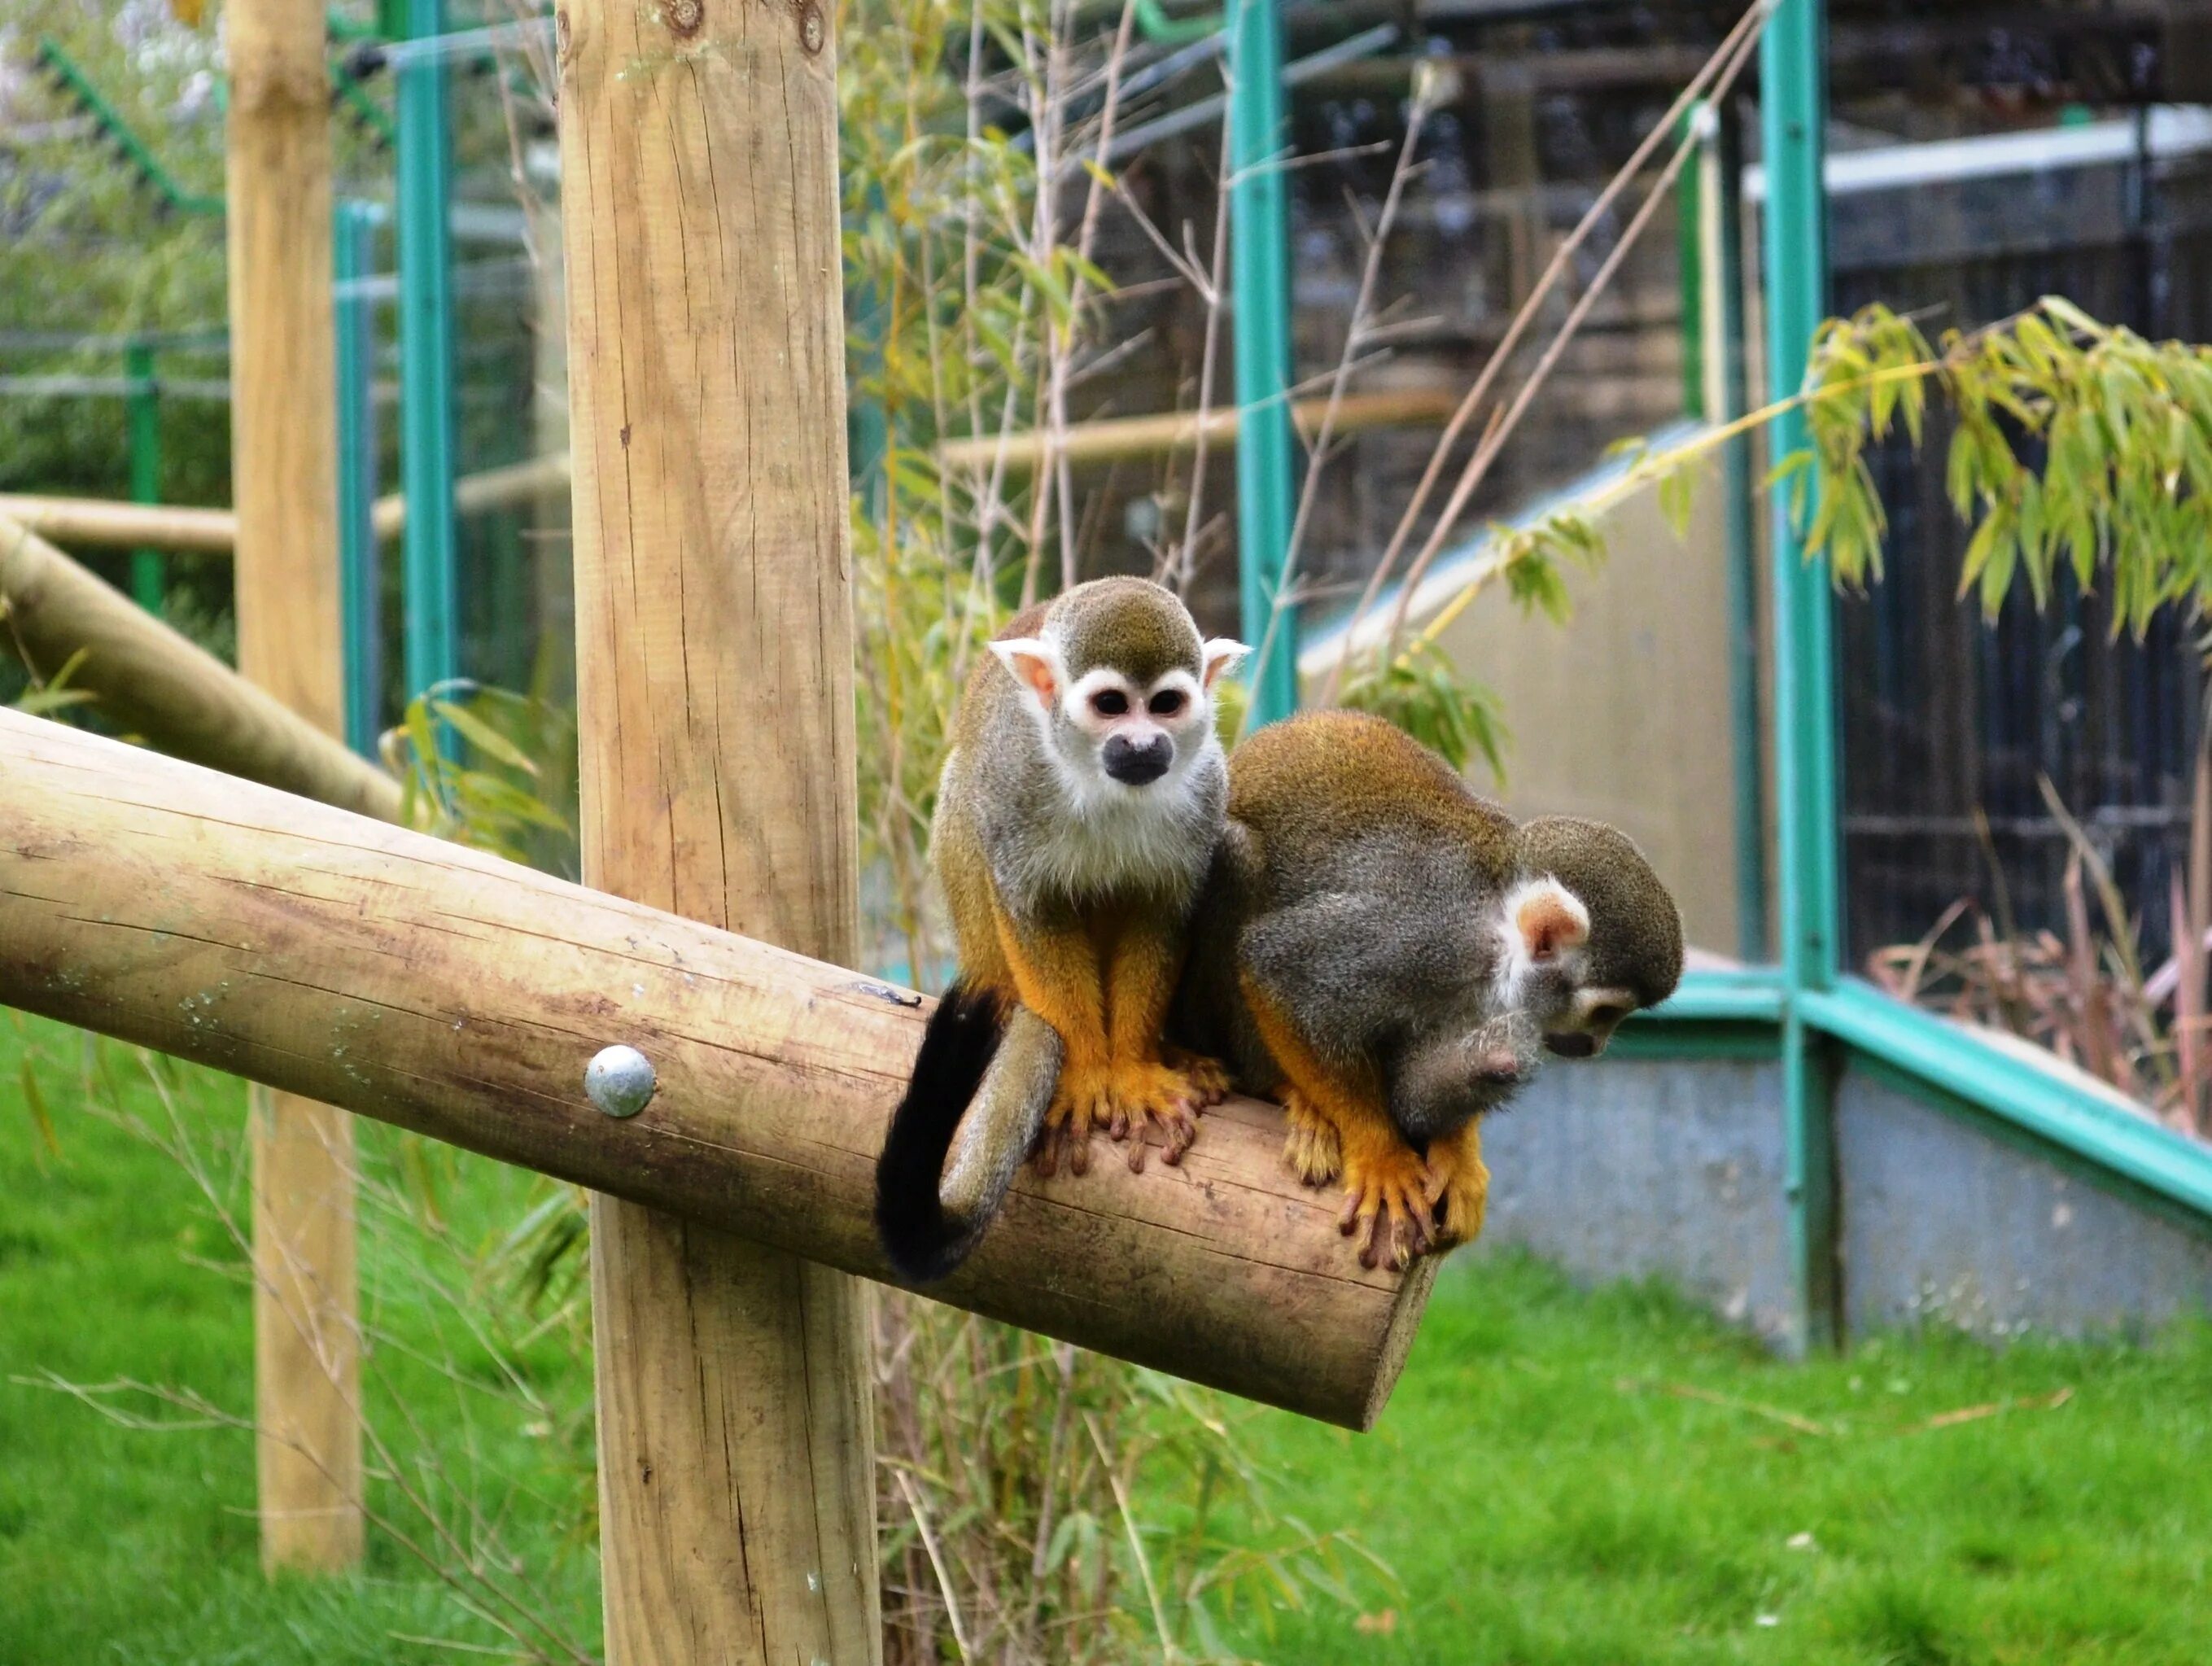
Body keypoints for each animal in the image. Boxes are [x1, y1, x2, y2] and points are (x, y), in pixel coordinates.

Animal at [867, 579, 1247, 1283]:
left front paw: (1131, 1067)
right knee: (965, 797)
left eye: (1166, 704)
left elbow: (1161, 911)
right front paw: (1087, 1070)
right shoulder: (1015, 784)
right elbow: (1030, 904)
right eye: (1110, 705)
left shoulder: (1206, 786)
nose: (1143, 745)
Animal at [1176, 707, 1672, 1265]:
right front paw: (1380, 1154)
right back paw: (1286, 1088)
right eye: (1605, 1013)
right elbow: (1272, 968)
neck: (1493, 942)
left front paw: (1458, 1148)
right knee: (1238, 852)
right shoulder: (1413, 939)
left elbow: (1419, 1088)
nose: (1594, 1046)